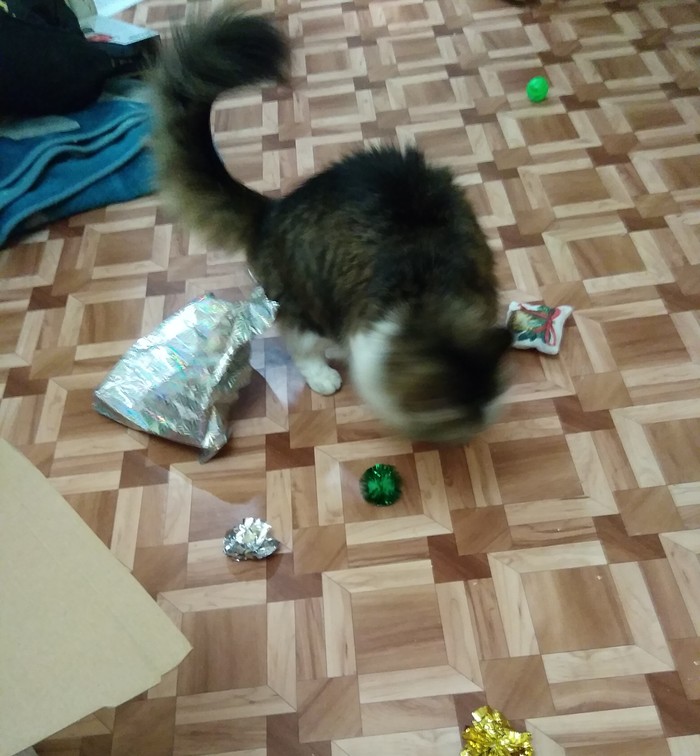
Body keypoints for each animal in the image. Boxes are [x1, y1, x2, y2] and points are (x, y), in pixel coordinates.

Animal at [149, 8, 512, 444]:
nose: (472, 437)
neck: (429, 298)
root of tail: (274, 210)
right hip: (307, 301)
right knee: (299, 343)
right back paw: (324, 374)